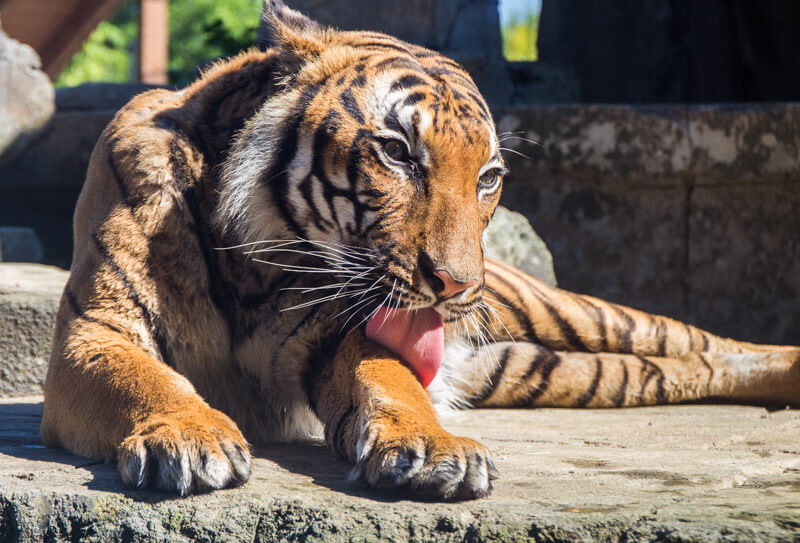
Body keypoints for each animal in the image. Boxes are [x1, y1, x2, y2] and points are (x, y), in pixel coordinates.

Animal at [39, 0, 800, 502]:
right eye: (399, 153)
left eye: (488, 178)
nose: (457, 286)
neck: (255, 265)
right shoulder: (95, 333)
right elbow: (147, 379)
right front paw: (190, 435)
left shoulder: (340, 337)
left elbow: (392, 378)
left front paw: (436, 449)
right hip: (547, 367)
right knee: (686, 367)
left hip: (569, 315)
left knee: (707, 342)